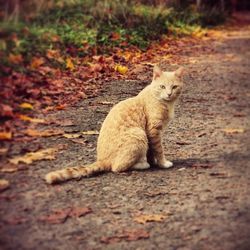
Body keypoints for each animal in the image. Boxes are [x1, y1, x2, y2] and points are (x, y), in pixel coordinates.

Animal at [45, 65, 184, 184]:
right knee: (116, 168)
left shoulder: (151, 134)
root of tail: (102, 159)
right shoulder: (153, 130)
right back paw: (142, 165)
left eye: (174, 87)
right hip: (138, 134)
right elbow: (159, 149)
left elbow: (151, 150)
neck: (164, 102)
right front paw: (162, 163)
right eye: (162, 86)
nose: (169, 94)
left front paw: (153, 161)